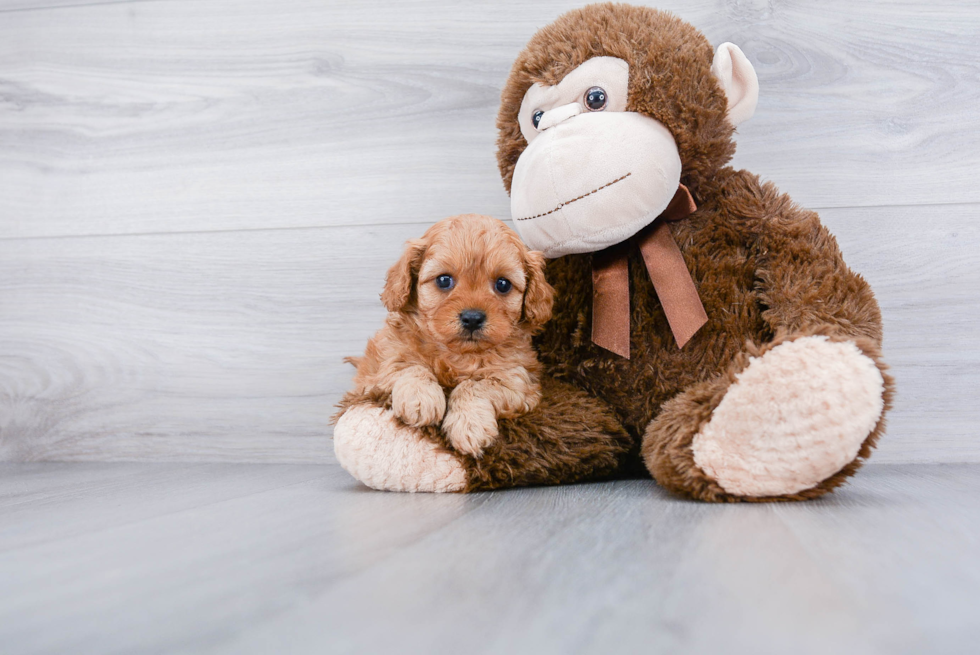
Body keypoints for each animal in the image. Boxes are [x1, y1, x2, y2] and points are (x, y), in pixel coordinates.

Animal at [348, 214, 556, 456]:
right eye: (444, 280)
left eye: (503, 284)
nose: (473, 318)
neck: (457, 354)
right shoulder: (382, 364)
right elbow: (409, 366)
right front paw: (420, 399)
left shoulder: (517, 381)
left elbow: (473, 386)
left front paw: (469, 426)